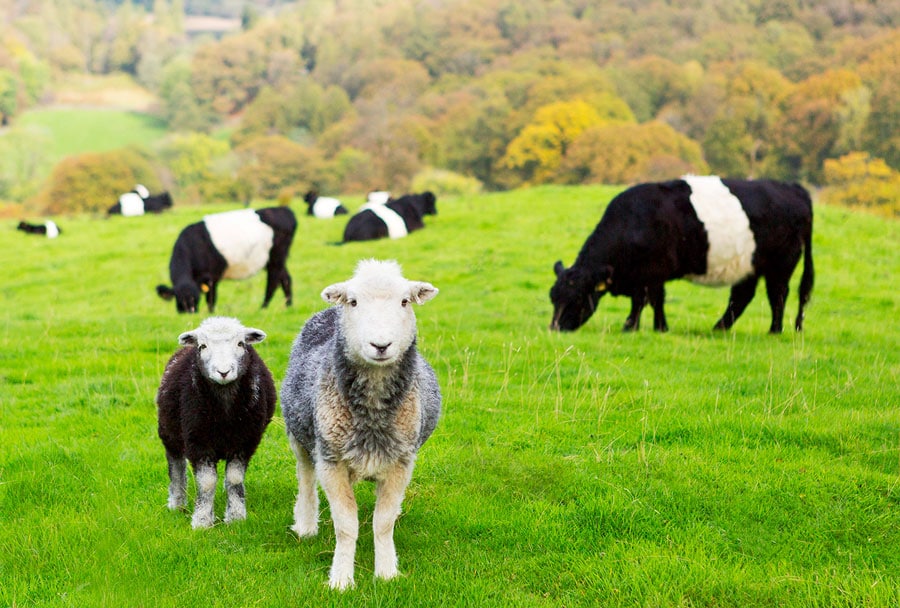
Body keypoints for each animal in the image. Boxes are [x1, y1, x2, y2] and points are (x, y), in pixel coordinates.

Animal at [155, 208, 296, 316]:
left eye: (196, 299)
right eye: (179, 300)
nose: (190, 313)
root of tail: (284, 210)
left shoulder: (211, 277)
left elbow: (211, 300)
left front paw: (211, 315)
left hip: (276, 258)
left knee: (273, 282)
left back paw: (263, 308)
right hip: (276, 260)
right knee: (286, 279)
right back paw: (288, 306)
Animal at [155, 316, 276, 528]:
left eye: (240, 343)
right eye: (202, 346)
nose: (223, 372)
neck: (224, 414)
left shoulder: (245, 441)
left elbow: (234, 479)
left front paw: (235, 517)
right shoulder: (197, 440)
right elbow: (207, 482)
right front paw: (202, 521)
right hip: (169, 433)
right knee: (176, 466)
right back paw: (177, 504)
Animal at [278, 260, 440, 588]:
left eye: (405, 301)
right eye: (353, 302)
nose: (380, 345)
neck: (372, 414)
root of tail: (329, 311)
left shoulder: (401, 462)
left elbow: (383, 522)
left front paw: (387, 573)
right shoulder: (331, 461)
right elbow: (346, 525)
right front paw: (341, 579)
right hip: (300, 435)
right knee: (305, 477)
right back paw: (306, 524)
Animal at [548, 176, 816, 334]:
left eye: (578, 297)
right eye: (553, 297)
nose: (555, 327)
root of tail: (793, 188)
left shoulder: (650, 272)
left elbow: (643, 300)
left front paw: (630, 326)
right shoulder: (650, 276)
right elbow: (657, 300)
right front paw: (659, 327)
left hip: (781, 264)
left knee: (777, 295)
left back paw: (774, 330)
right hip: (749, 264)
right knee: (742, 296)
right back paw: (719, 328)